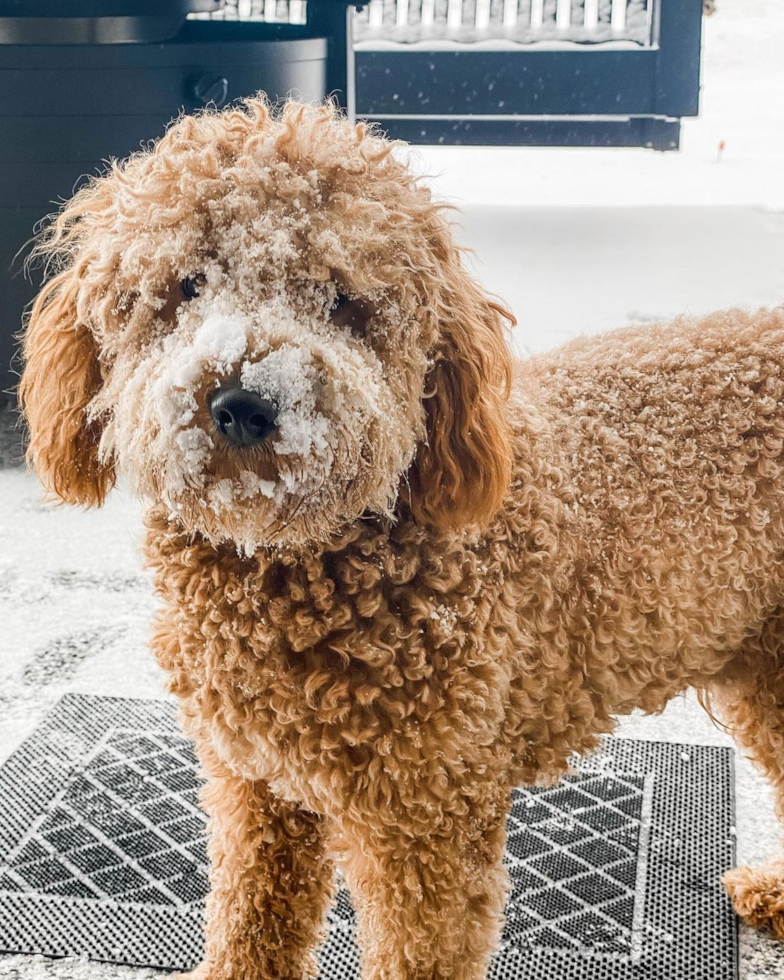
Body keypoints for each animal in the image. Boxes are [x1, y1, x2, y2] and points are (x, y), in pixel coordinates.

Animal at [16, 97, 784, 972]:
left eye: (340, 298)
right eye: (187, 286)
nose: (243, 403)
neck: (297, 572)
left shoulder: (424, 824)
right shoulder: (257, 789)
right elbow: (250, 922)